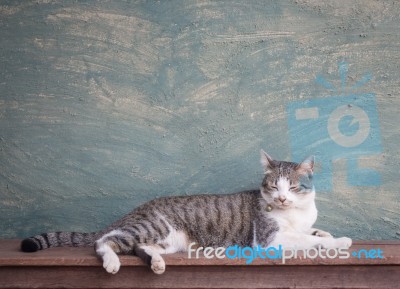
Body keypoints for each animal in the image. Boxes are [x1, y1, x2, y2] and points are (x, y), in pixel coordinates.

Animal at [21, 150, 350, 274]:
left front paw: (330, 234)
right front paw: (339, 242)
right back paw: (112, 262)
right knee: (105, 242)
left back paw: (155, 263)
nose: (281, 198)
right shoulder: (271, 240)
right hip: (153, 227)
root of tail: (134, 211)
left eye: (292, 187)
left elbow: (315, 231)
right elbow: (309, 240)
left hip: (167, 240)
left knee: (139, 248)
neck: (295, 213)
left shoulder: (301, 224)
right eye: (273, 186)